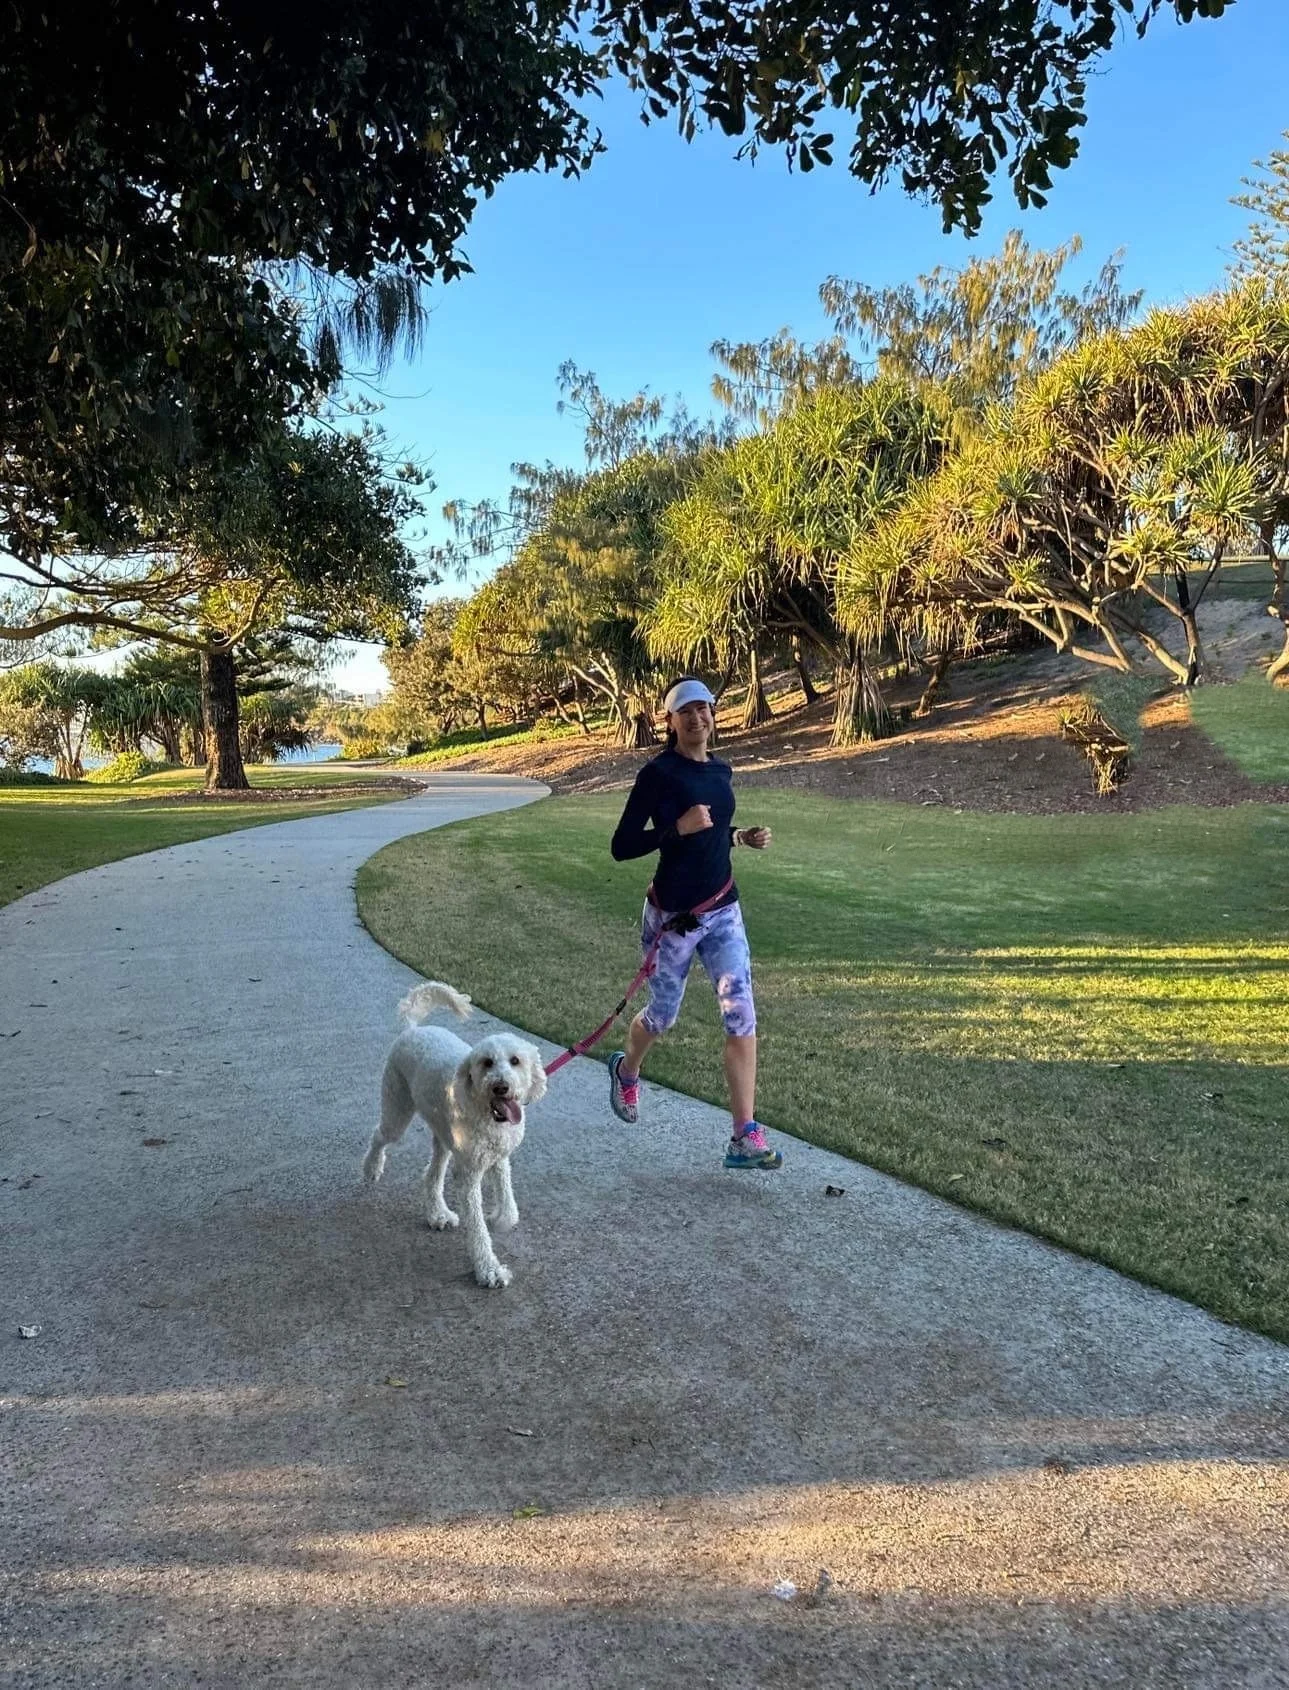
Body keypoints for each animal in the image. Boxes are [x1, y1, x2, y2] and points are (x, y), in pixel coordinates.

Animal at [359, 986, 547, 1284]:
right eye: (487, 1062)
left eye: (515, 1061)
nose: (500, 1087)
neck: (487, 1113)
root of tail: (413, 1029)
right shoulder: (468, 1175)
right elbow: (478, 1228)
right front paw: (489, 1269)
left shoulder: (498, 1158)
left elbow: (509, 1203)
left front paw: (499, 1219)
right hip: (397, 1108)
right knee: (380, 1136)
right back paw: (372, 1168)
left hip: (444, 1135)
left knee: (431, 1175)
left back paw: (437, 1214)